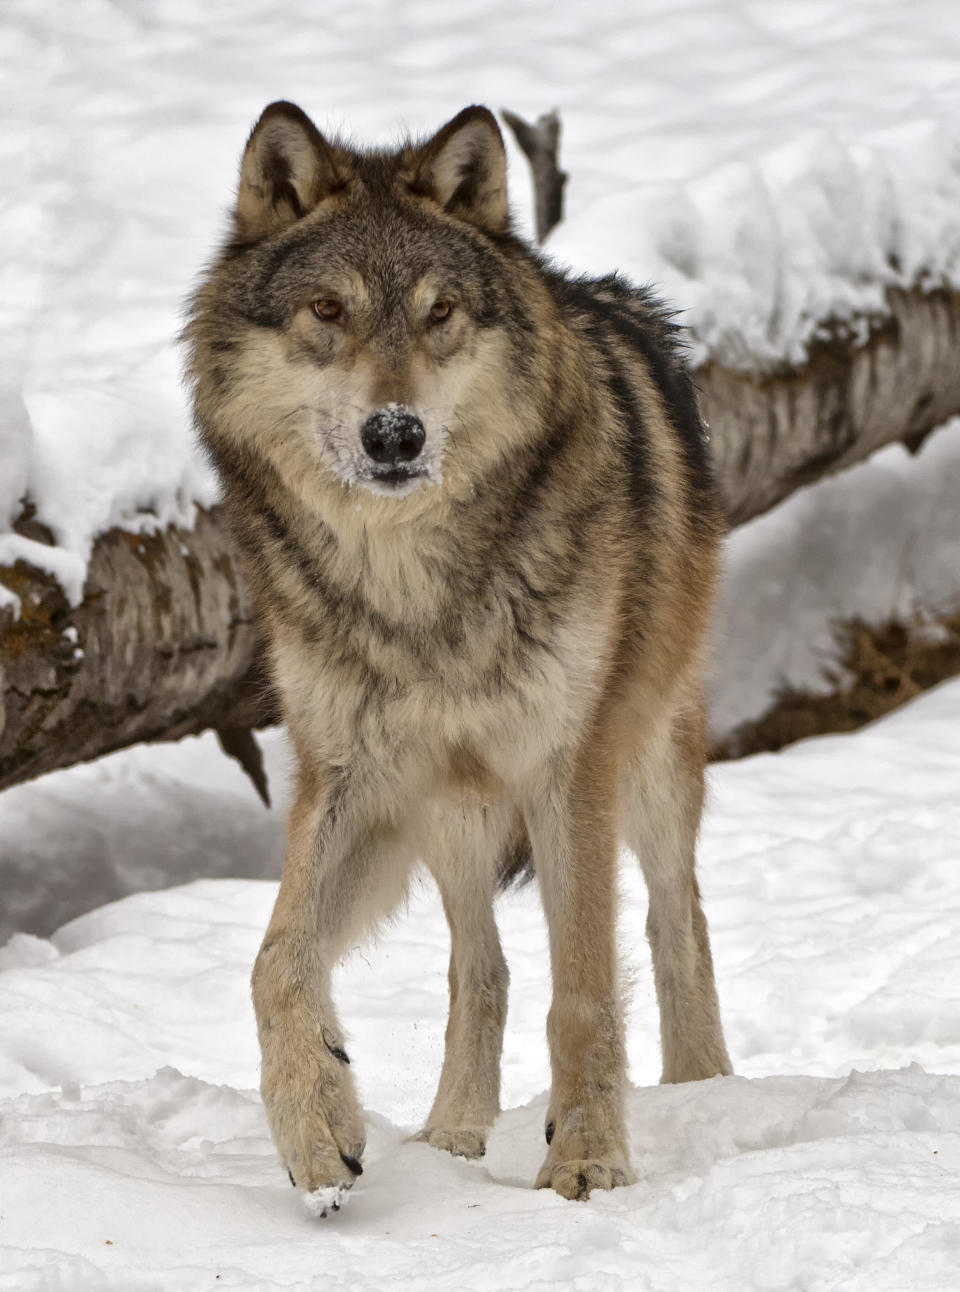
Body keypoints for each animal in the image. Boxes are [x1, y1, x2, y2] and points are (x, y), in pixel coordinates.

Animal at [186, 98, 728, 1209]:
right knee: (481, 965)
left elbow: (585, 987)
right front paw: (319, 1136)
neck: (416, 595)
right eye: (328, 309)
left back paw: (702, 1090)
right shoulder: (354, 777)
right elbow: (275, 963)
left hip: (650, 761)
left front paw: (589, 1158)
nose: (395, 434)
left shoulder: (572, 767)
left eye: (440, 313)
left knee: (675, 922)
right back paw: (451, 1137)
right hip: (453, 814)